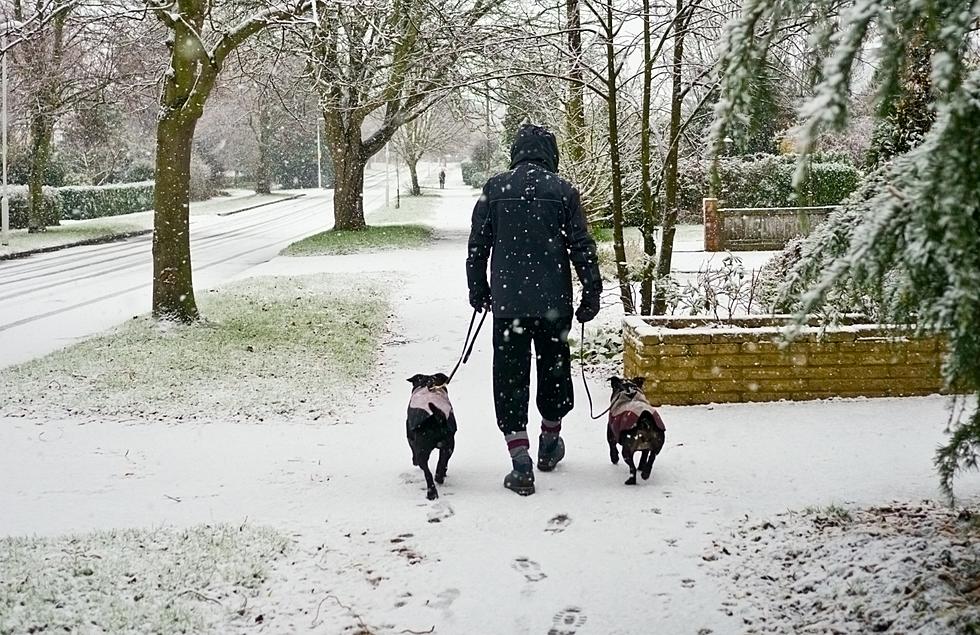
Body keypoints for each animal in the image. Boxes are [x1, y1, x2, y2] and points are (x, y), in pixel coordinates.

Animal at [404, 372, 458, 502]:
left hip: (422, 450)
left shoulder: (410, 437)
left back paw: (431, 493)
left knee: (427, 472)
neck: (427, 384)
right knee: (443, 461)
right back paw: (439, 477)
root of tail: (435, 418)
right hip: (449, 444)